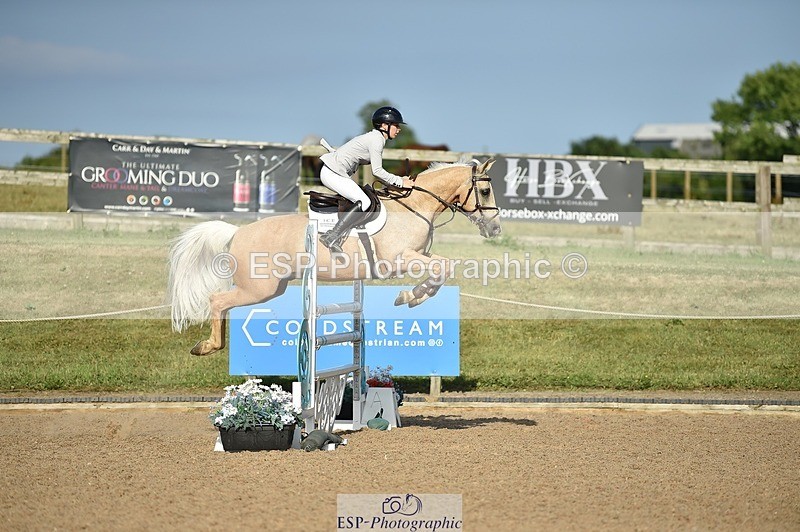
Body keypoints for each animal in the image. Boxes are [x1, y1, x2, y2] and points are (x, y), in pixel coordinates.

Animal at [167, 158, 501, 356]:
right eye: (484, 191)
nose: (495, 228)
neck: (415, 206)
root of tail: (237, 232)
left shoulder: (420, 254)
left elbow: (443, 267)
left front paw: (414, 295)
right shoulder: (399, 260)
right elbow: (442, 268)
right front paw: (410, 295)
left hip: (270, 288)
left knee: (223, 304)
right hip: (258, 288)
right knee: (217, 301)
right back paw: (208, 346)